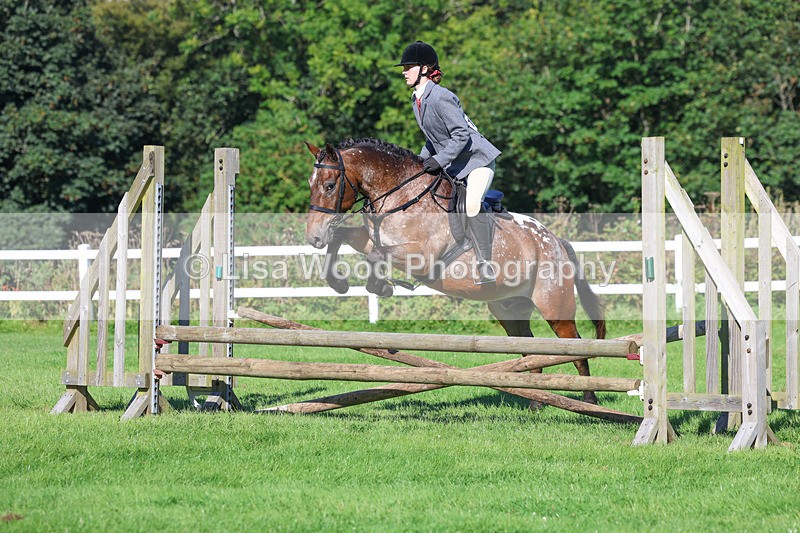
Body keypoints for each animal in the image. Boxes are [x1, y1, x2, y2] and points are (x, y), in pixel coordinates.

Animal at [304, 138, 606, 405]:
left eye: (330, 185)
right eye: (311, 184)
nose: (313, 237)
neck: (401, 194)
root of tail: (555, 241)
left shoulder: (421, 256)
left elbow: (375, 256)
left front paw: (381, 286)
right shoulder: (372, 239)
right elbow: (341, 237)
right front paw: (340, 283)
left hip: (555, 305)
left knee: (575, 348)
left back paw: (589, 399)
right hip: (510, 310)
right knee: (531, 351)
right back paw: (537, 403)